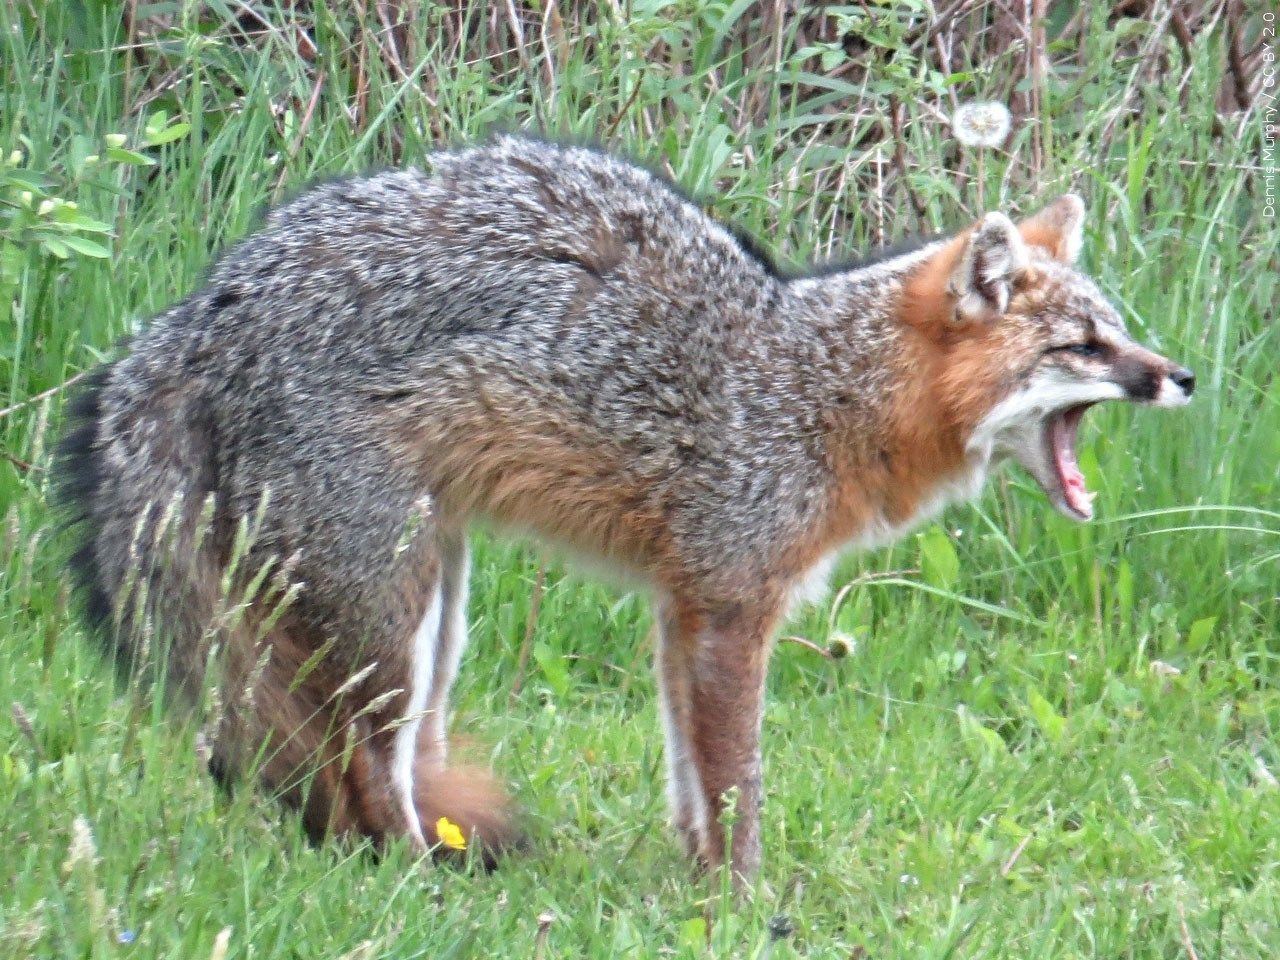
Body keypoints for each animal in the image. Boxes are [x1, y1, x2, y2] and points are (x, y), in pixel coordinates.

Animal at [55, 135, 1194, 884]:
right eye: (1082, 347)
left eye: (1119, 330)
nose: (1179, 376)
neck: (817, 389)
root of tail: (198, 313)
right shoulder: (730, 613)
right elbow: (736, 782)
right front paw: (745, 902)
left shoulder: (679, 611)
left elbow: (690, 779)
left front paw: (696, 886)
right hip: (391, 618)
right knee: (368, 773)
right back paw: (419, 886)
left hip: (435, 622)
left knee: (368, 770)